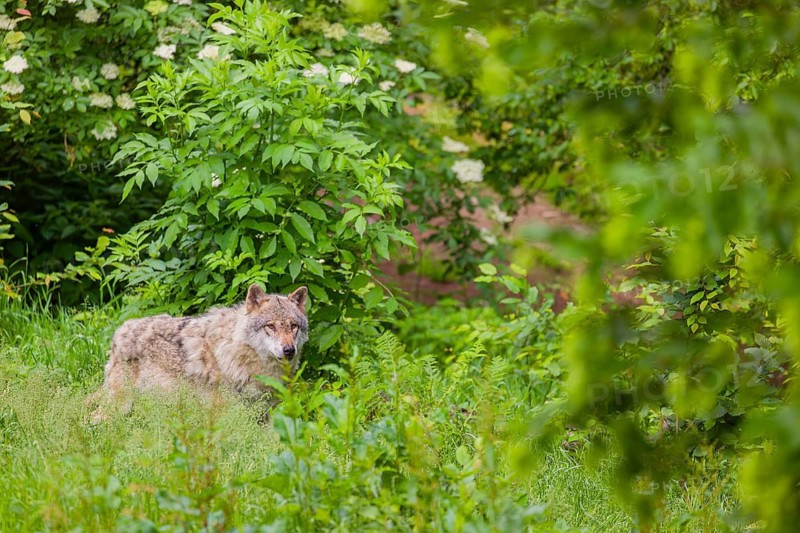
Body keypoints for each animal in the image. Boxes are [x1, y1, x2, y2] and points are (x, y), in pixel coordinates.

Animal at [88, 284, 308, 421]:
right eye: (271, 326)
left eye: (293, 326)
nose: (289, 349)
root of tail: (119, 331)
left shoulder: (271, 411)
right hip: (120, 407)